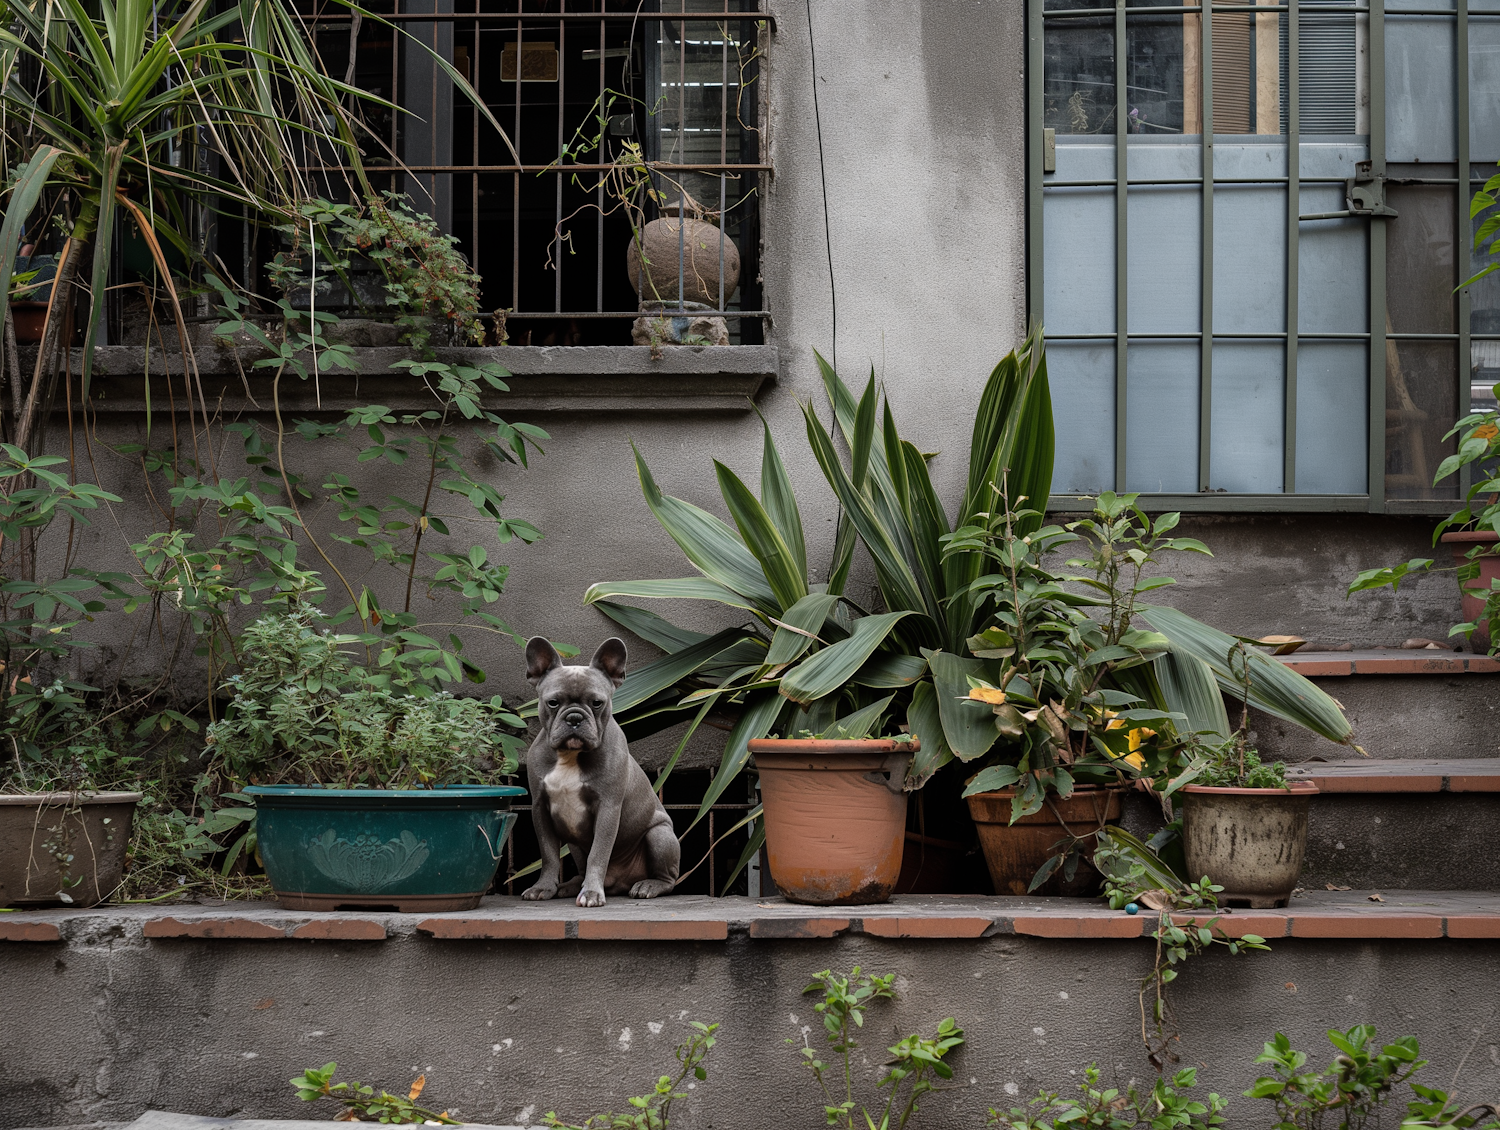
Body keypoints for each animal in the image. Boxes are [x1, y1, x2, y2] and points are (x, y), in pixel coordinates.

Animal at [519, 636, 678, 906]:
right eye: (553, 702)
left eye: (596, 703)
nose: (574, 717)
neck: (570, 756)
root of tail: (618, 884)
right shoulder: (540, 808)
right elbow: (549, 854)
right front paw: (543, 887)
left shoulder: (608, 808)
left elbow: (598, 852)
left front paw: (592, 893)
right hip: (574, 843)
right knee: (580, 866)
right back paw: (571, 885)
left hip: (660, 835)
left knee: (669, 879)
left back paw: (648, 885)